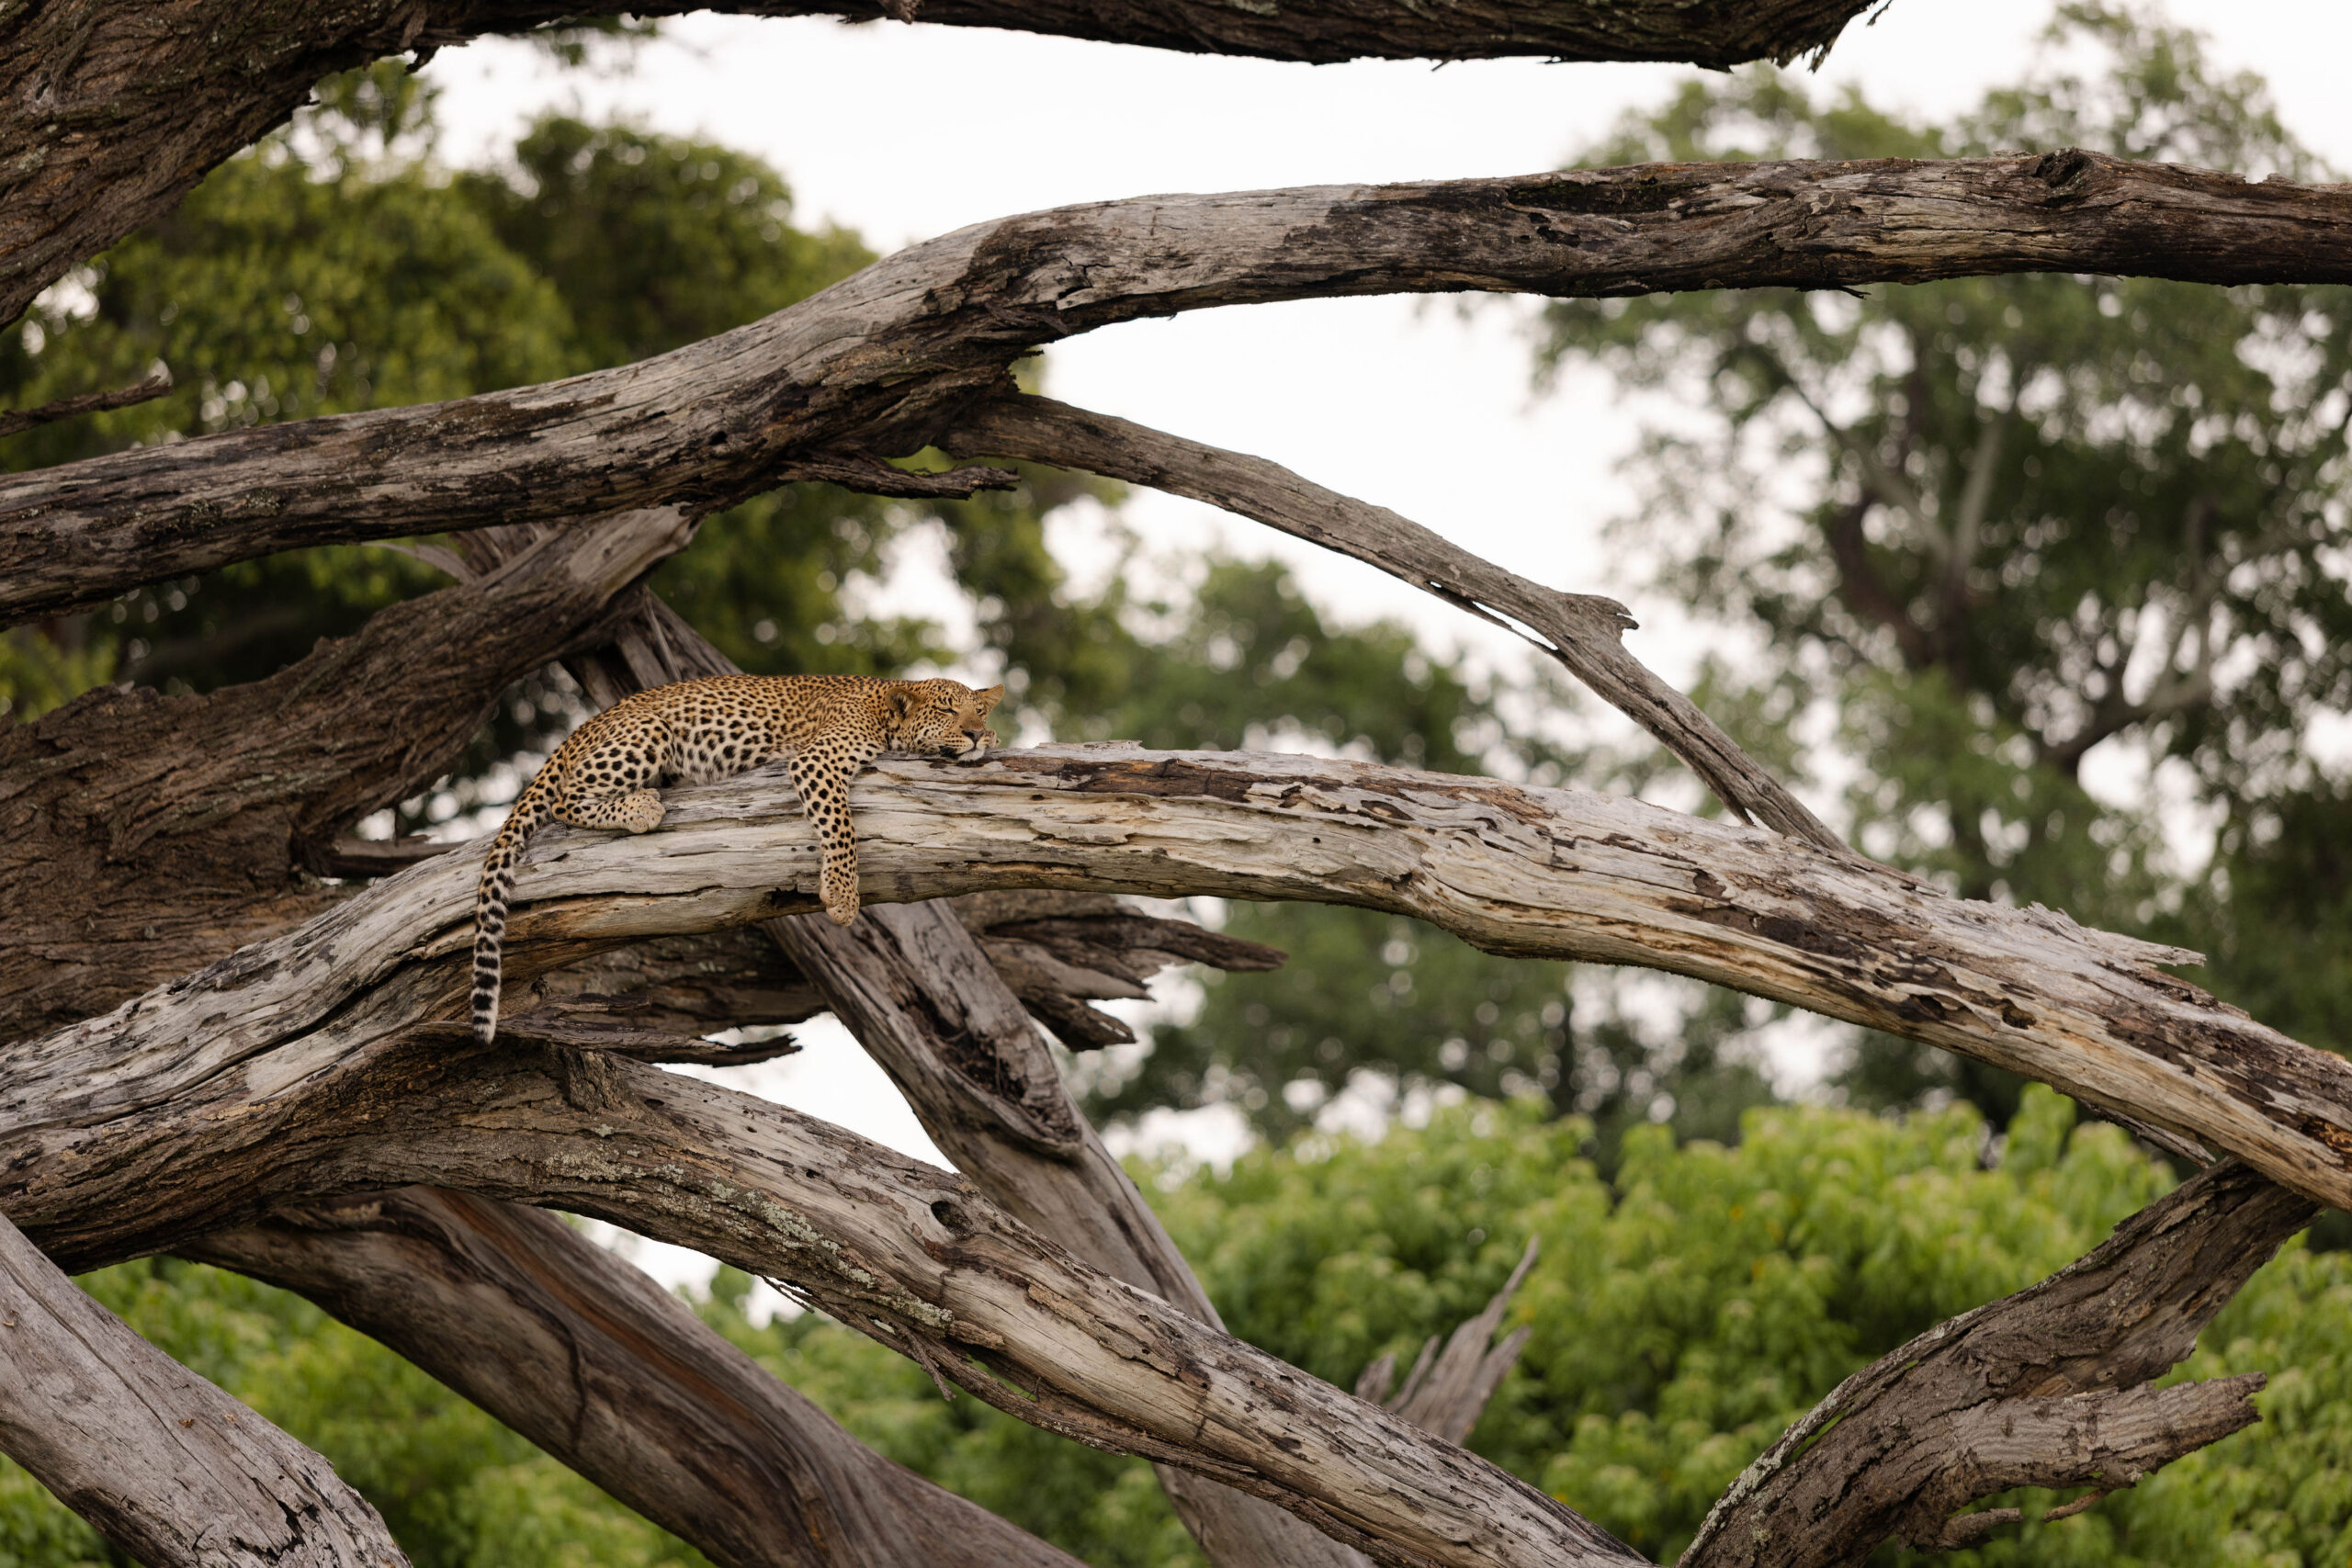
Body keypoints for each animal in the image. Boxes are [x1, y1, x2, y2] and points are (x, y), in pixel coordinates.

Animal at [470, 674, 1003, 1044]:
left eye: (978, 711)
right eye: (946, 709)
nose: (977, 734)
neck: (885, 711)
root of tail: (586, 724)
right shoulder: (817, 760)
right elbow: (841, 825)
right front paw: (842, 894)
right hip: (649, 731)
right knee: (566, 799)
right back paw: (642, 808)